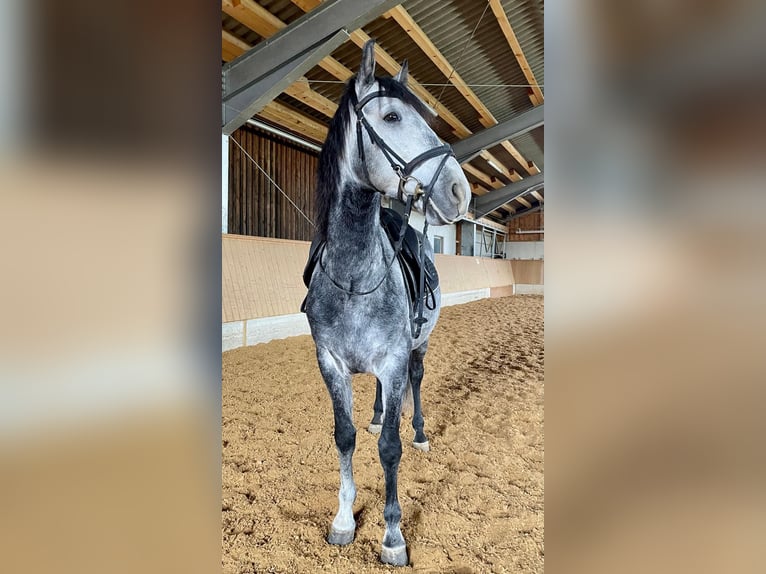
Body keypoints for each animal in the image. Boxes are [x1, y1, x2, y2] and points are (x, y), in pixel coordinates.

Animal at [302, 40, 470, 566]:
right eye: (393, 116)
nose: (459, 191)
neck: (355, 276)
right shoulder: (331, 363)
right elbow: (345, 437)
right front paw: (342, 520)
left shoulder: (395, 358)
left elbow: (391, 450)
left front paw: (393, 536)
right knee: (377, 403)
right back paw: (378, 415)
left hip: (417, 347)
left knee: (415, 385)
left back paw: (418, 431)